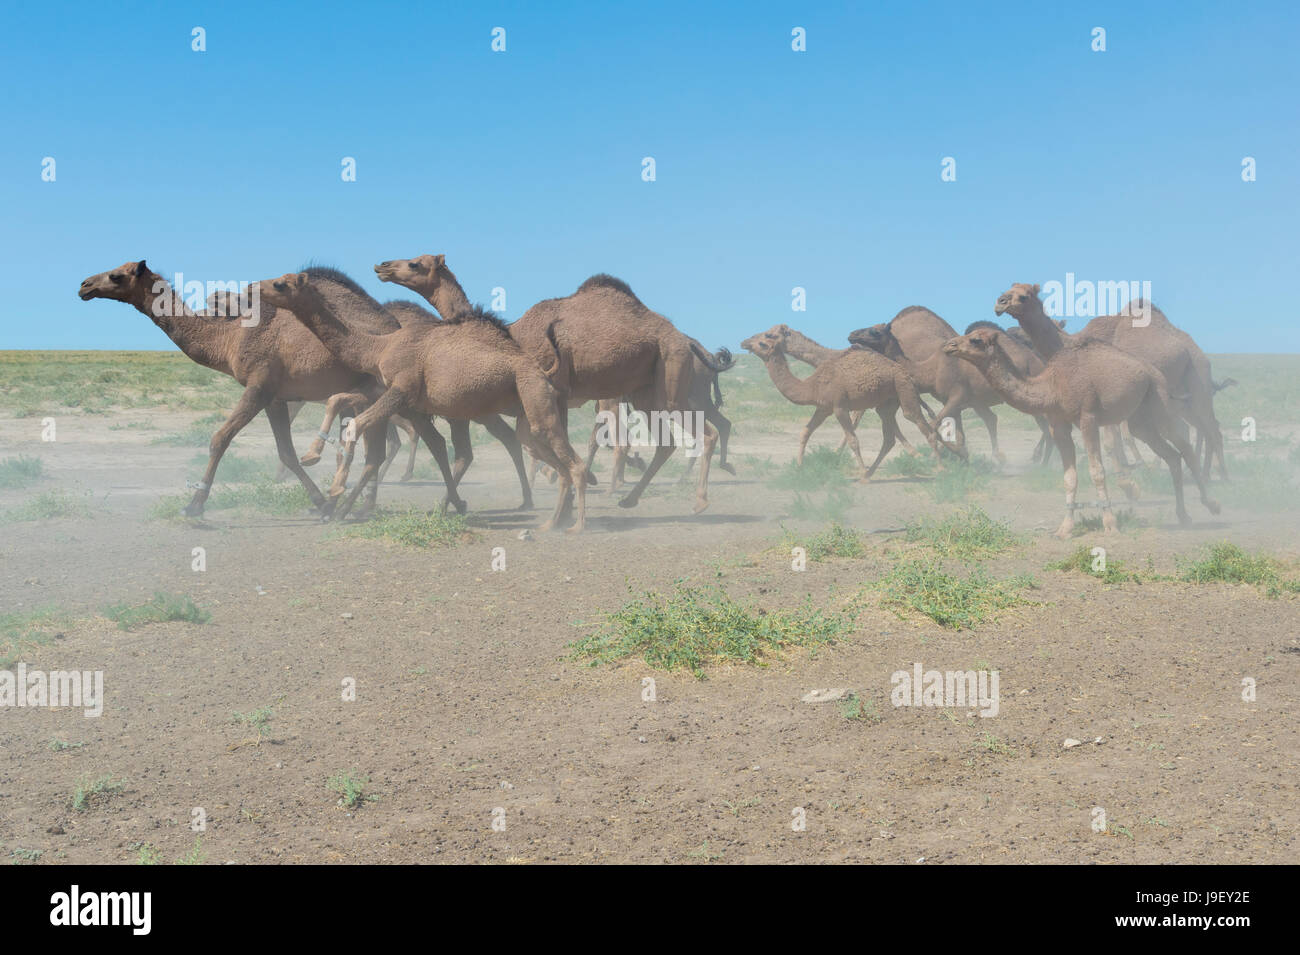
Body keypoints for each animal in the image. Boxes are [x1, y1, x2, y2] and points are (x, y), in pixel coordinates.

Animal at [256, 272, 587, 535]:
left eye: (280, 283)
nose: (255, 288)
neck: (379, 347)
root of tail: (543, 372)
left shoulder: (402, 388)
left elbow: (357, 424)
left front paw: (334, 487)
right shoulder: (387, 391)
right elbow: (341, 403)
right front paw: (314, 457)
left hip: (530, 399)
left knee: (570, 462)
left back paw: (572, 525)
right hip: (526, 412)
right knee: (548, 457)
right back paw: (551, 521)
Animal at [377, 250, 722, 511]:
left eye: (414, 263)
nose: (382, 266)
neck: (511, 336)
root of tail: (687, 340)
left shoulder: (543, 392)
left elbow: (542, 446)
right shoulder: (554, 397)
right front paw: (567, 496)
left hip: (670, 372)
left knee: (705, 432)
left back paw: (699, 501)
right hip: (645, 393)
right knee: (665, 442)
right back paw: (628, 498)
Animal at [738, 327, 961, 478]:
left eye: (765, 339)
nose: (744, 342)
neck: (812, 383)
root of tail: (905, 373)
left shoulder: (840, 407)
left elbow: (852, 438)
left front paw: (855, 469)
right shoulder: (823, 408)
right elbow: (805, 432)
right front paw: (799, 467)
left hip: (903, 391)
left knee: (922, 425)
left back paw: (940, 467)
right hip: (887, 403)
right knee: (890, 435)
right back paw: (873, 471)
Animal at [941, 327, 1211, 537]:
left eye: (975, 339)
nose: (949, 345)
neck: (1052, 386)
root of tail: (1154, 372)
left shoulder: (1088, 418)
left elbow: (1097, 472)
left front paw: (1110, 524)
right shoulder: (1058, 423)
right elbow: (1069, 477)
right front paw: (1064, 529)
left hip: (1160, 403)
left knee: (1185, 446)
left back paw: (1212, 505)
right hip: (1140, 421)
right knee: (1172, 455)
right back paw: (1184, 516)